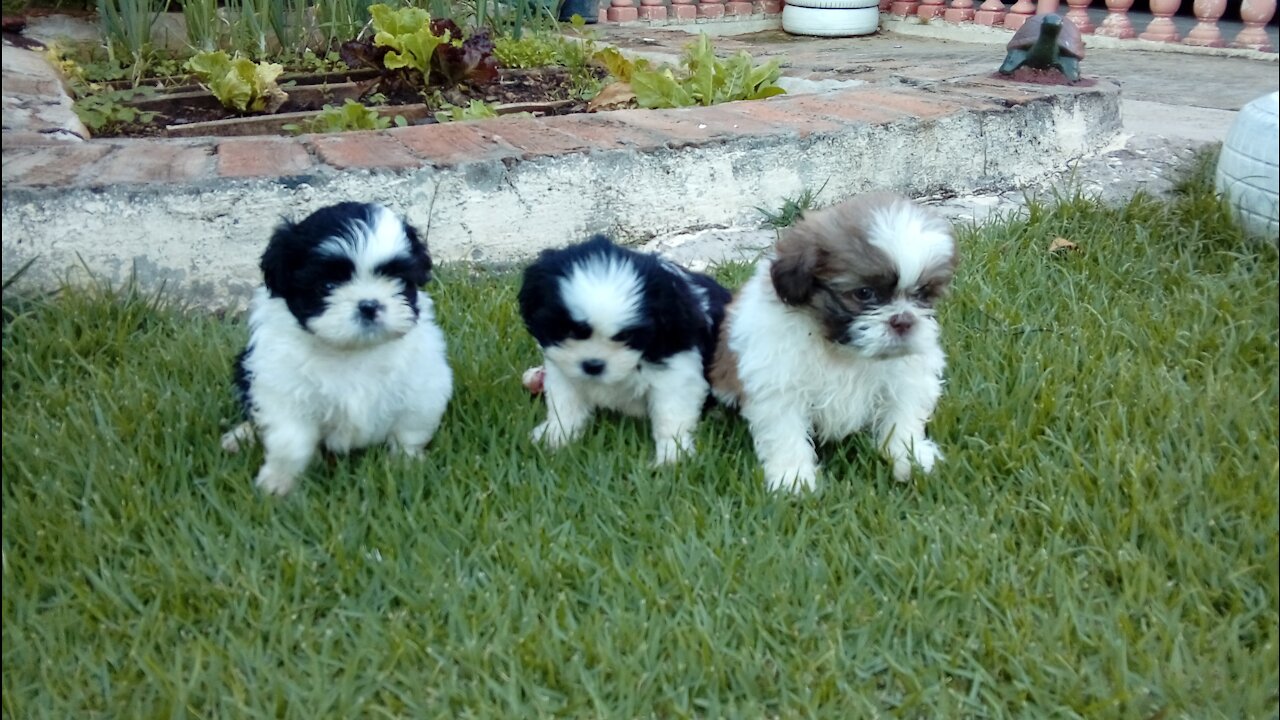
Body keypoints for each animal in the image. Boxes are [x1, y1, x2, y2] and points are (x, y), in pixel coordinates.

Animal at [222, 199, 453, 491]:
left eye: (399, 280)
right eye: (328, 285)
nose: (369, 305)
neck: (350, 351)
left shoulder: (422, 385)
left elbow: (409, 431)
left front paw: (406, 466)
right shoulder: (283, 390)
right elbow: (289, 441)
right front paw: (278, 482)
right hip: (244, 367)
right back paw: (240, 436)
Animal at [517, 233, 732, 461]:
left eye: (626, 336)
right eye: (569, 331)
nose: (593, 365)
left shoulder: (677, 369)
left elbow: (671, 413)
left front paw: (672, 456)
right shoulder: (563, 368)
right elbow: (566, 405)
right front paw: (554, 436)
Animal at [711, 190, 962, 489]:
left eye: (923, 294)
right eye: (864, 293)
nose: (903, 320)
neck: (842, 351)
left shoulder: (906, 379)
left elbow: (902, 416)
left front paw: (909, 457)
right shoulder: (779, 384)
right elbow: (785, 433)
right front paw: (793, 477)